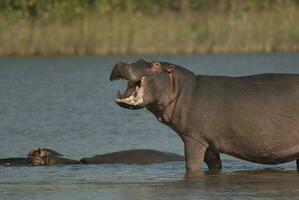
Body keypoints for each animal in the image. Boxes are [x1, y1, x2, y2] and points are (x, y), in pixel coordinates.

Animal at [110, 59, 299, 172]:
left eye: (156, 64)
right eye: (139, 60)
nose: (121, 63)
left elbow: (191, 165)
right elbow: (215, 165)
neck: (181, 88)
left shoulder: (193, 138)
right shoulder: (208, 143)